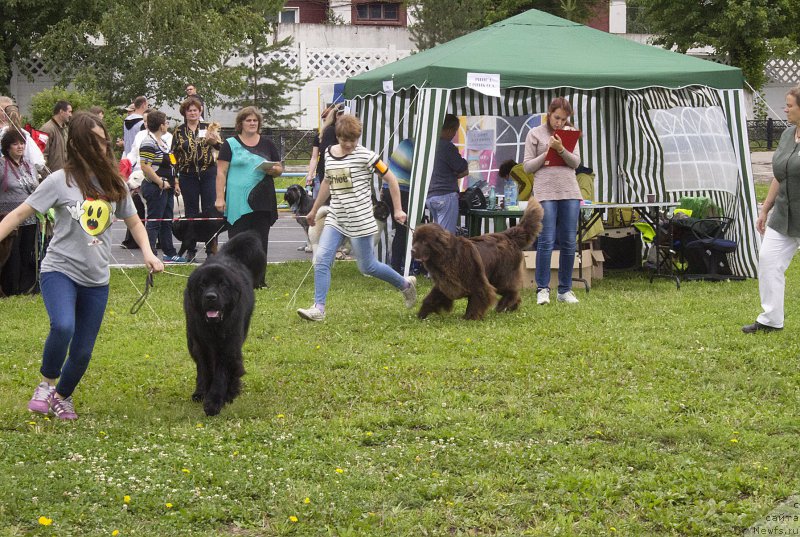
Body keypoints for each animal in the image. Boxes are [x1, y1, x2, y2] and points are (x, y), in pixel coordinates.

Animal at [184, 230, 266, 414]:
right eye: (202, 285)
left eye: (223, 285)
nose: (211, 297)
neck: (214, 327)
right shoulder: (201, 344)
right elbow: (205, 369)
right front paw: (203, 393)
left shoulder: (229, 343)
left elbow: (221, 373)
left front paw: (214, 402)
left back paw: (231, 393)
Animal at [412, 200, 544, 318]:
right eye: (416, 240)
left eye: (424, 242)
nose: (412, 251)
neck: (447, 257)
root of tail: (507, 235)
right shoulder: (445, 284)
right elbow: (431, 298)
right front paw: (421, 315)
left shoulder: (477, 282)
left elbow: (477, 298)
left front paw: (470, 317)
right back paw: (511, 307)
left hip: (501, 277)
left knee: (511, 291)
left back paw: (502, 305)